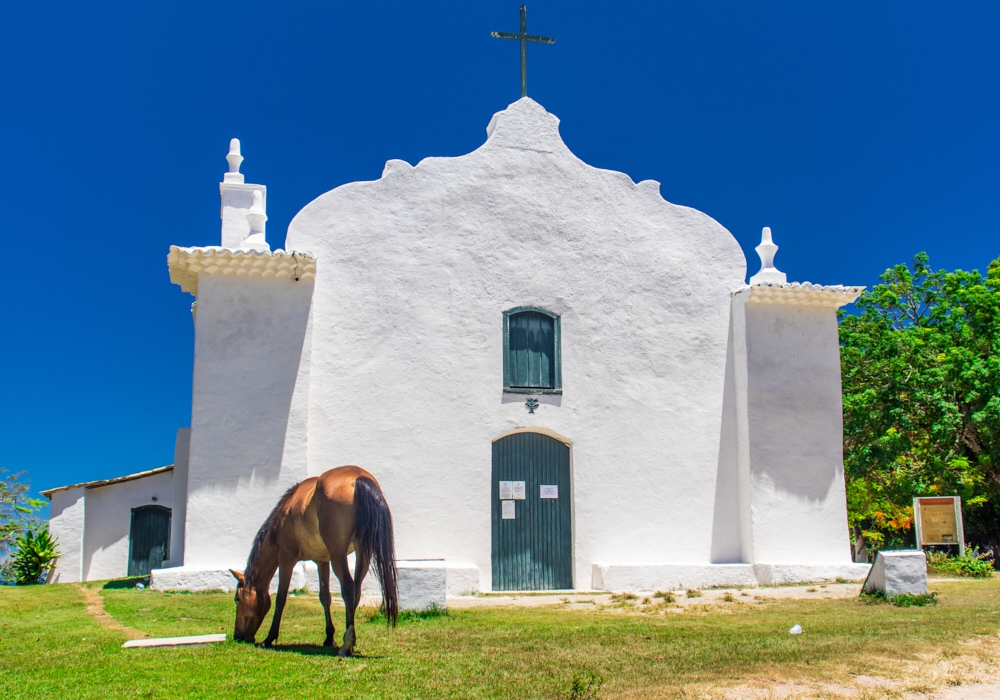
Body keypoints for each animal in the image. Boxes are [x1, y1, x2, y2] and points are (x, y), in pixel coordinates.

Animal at [229, 464, 396, 656]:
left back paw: (346, 644)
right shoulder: (322, 561)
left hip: (338, 554)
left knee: (348, 587)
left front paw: (269, 638)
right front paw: (329, 637)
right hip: (363, 552)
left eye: (237, 599)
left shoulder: (286, 558)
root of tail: (358, 477)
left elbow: (281, 597)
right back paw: (349, 641)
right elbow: (325, 597)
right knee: (356, 590)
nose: (238, 636)